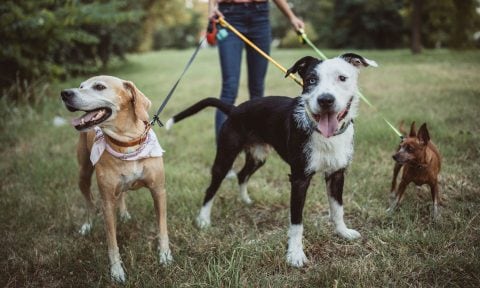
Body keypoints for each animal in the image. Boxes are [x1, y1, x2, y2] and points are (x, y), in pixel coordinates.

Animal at [60, 75, 172, 282]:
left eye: (99, 87)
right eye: (81, 86)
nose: (65, 93)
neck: (126, 142)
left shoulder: (158, 191)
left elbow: (162, 228)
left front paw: (165, 256)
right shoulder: (107, 202)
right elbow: (112, 242)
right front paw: (117, 271)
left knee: (121, 194)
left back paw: (125, 214)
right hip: (83, 174)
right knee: (89, 203)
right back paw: (87, 225)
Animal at [167, 53, 376, 266]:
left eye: (342, 78)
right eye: (311, 80)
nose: (325, 100)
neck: (324, 135)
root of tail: (234, 109)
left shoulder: (337, 173)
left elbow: (337, 208)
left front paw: (343, 233)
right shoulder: (299, 179)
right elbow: (296, 222)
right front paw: (295, 254)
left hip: (258, 157)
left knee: (242, 174)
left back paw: (246, 200)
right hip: (225, 157)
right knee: (212, 188)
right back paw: (203, 220)